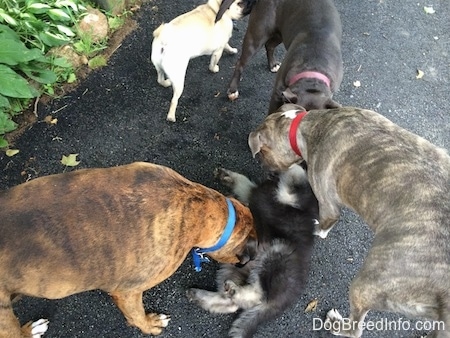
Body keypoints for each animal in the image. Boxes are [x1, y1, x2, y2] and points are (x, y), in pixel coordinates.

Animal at [185, 163, 318, 336]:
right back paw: (201, 295)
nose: (272, 173)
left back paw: (232, 292)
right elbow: (244, 184)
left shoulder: (296, 195)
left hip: (276, 254)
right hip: (232, 267)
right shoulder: (253, 193)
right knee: (231, 303)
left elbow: (295, 175)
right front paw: (227, 176)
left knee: (258, 296)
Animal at [248, 103, 450, 338]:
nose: (268, 173)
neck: (306, 125)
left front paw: (318, 230)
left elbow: (325, 222)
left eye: (263, 153)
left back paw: (336, 324)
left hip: (369, 284)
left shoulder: (327, 203)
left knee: (355, 328)